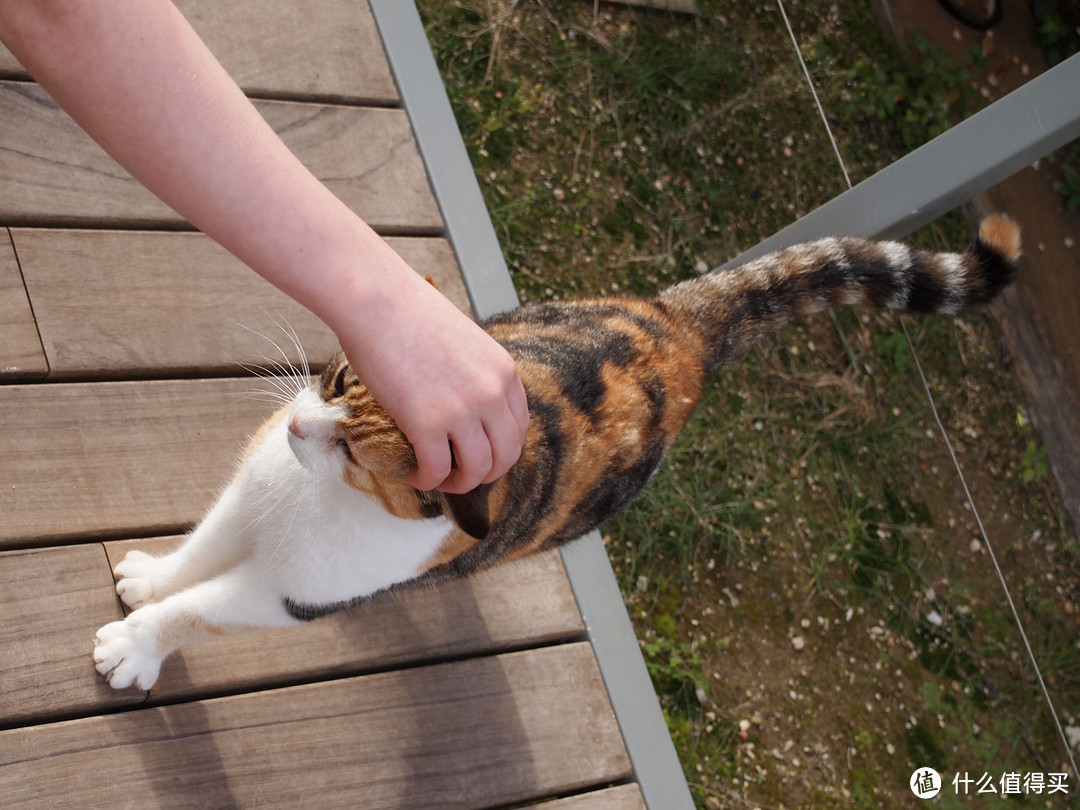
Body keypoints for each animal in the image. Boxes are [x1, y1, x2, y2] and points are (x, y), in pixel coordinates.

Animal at [92, 213, 1019, 691]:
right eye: (341, 375)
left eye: (360, 457)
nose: (295, 430)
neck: (313, 502)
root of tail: (683, 329)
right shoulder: (250, 493)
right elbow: (199, 552)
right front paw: (148, 579)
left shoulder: (296, 595)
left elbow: (202, 609)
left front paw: (136, 646)